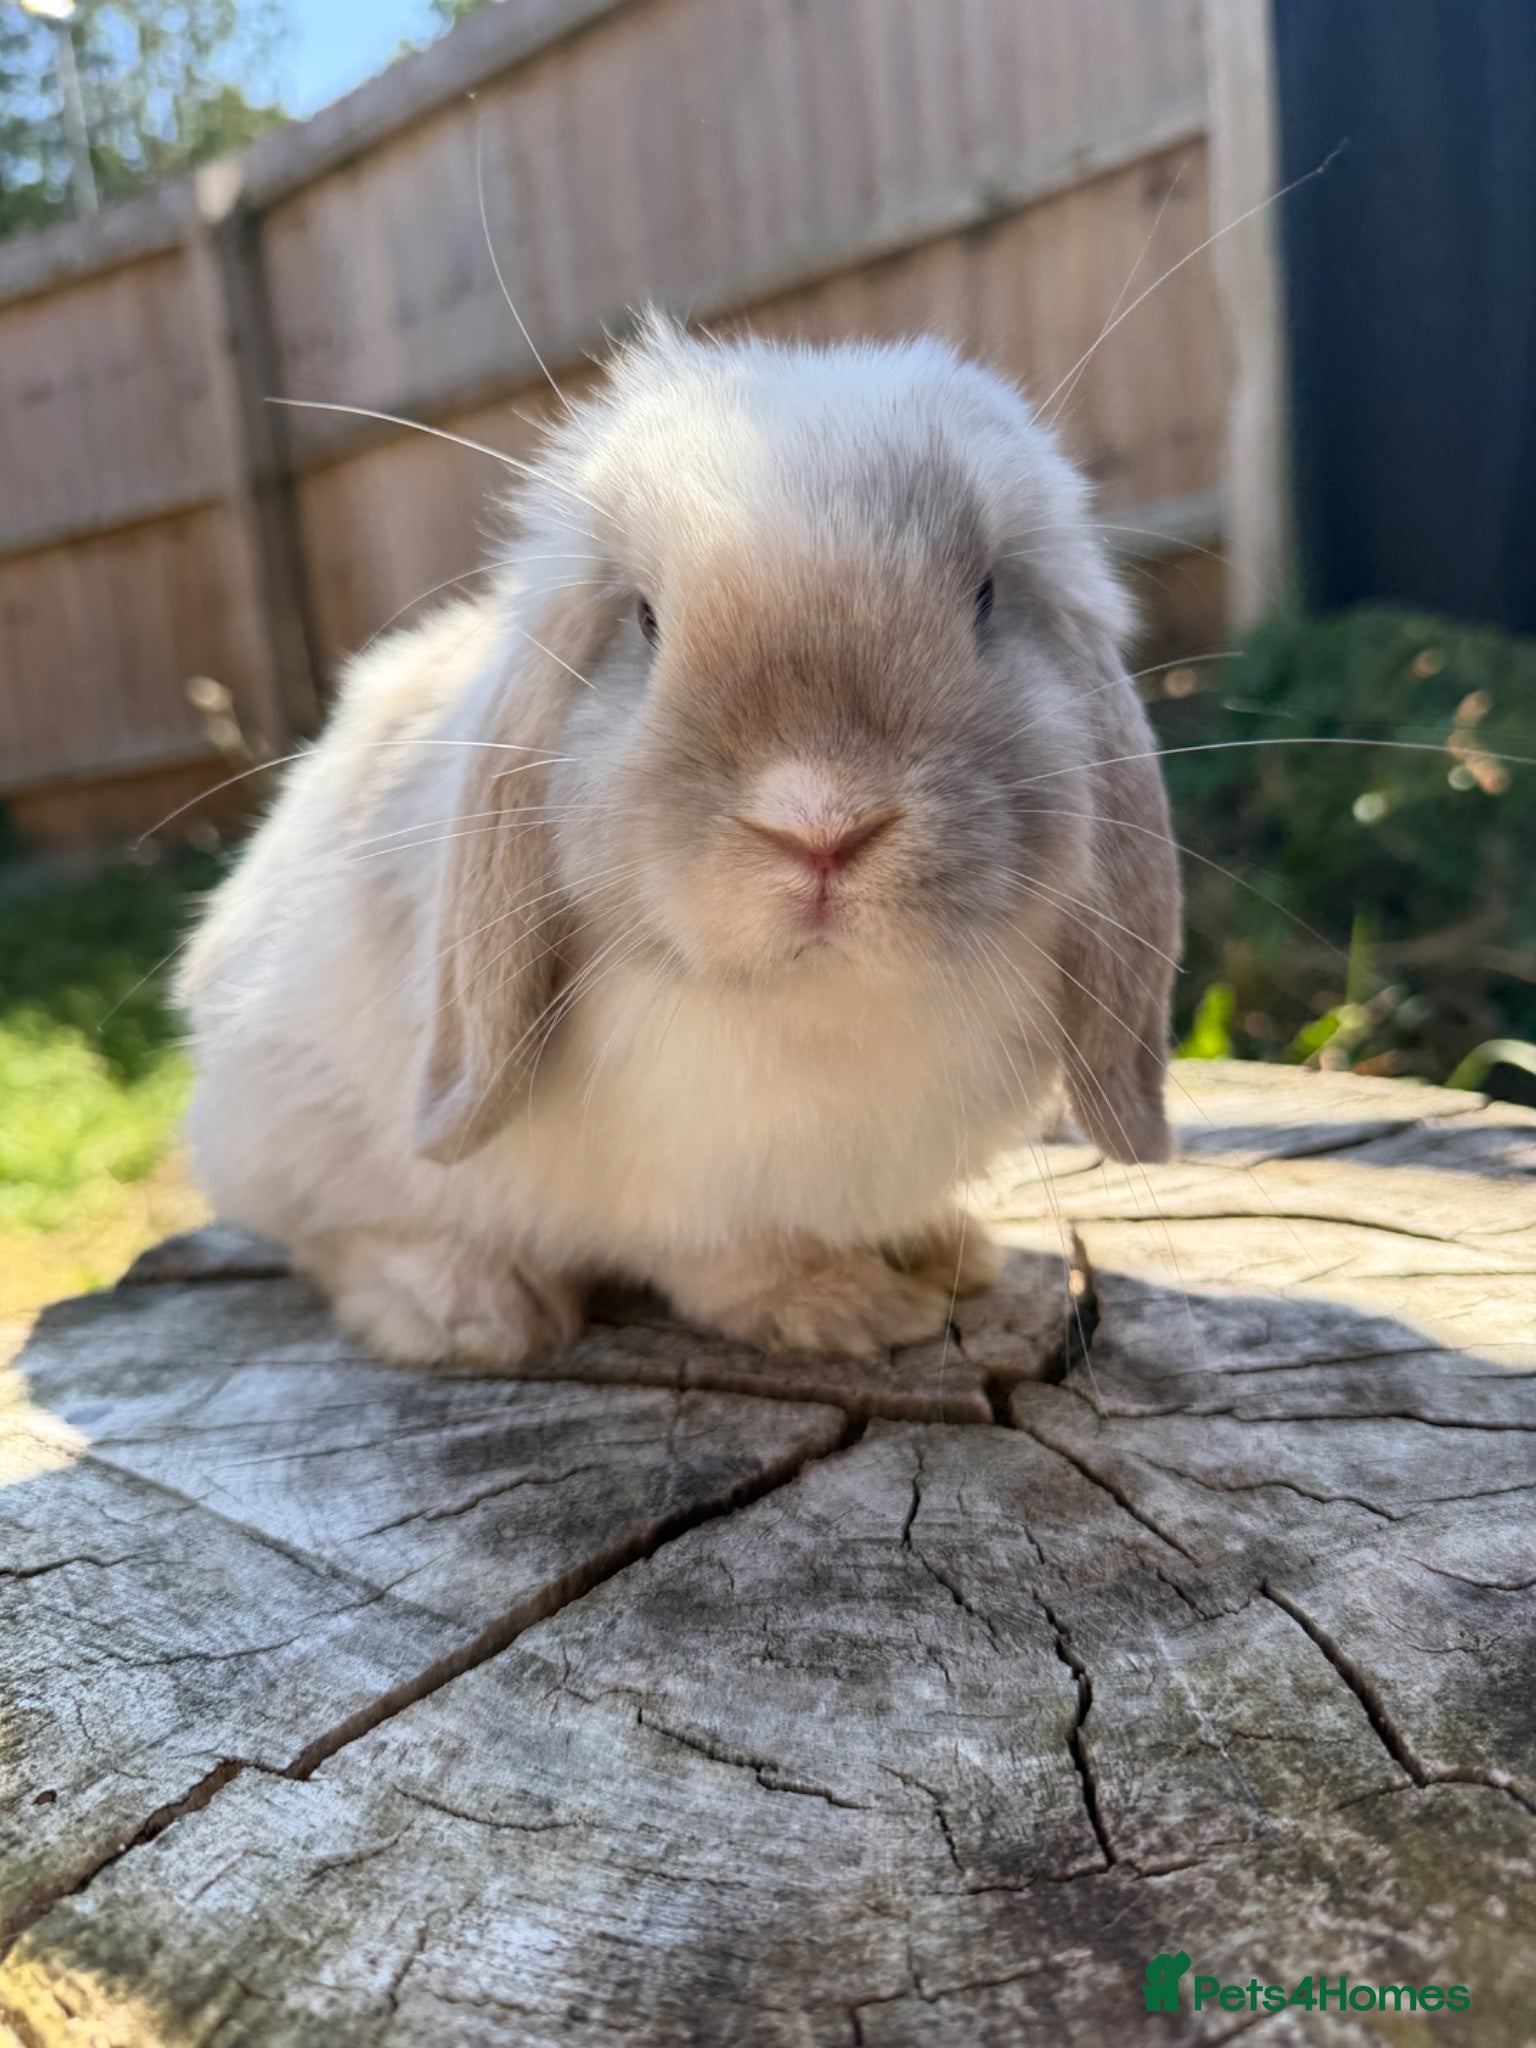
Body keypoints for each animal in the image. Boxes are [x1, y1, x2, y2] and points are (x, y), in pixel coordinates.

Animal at [178, 315, 1180, 1369]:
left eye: (986, 595)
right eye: (647, 621)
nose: (821, 828)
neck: (820, 1004)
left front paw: (943, 1250)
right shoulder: (680, 1195)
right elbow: (723, 1260)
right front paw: (847, 1309)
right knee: (338, 1236)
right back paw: (477, 1309)